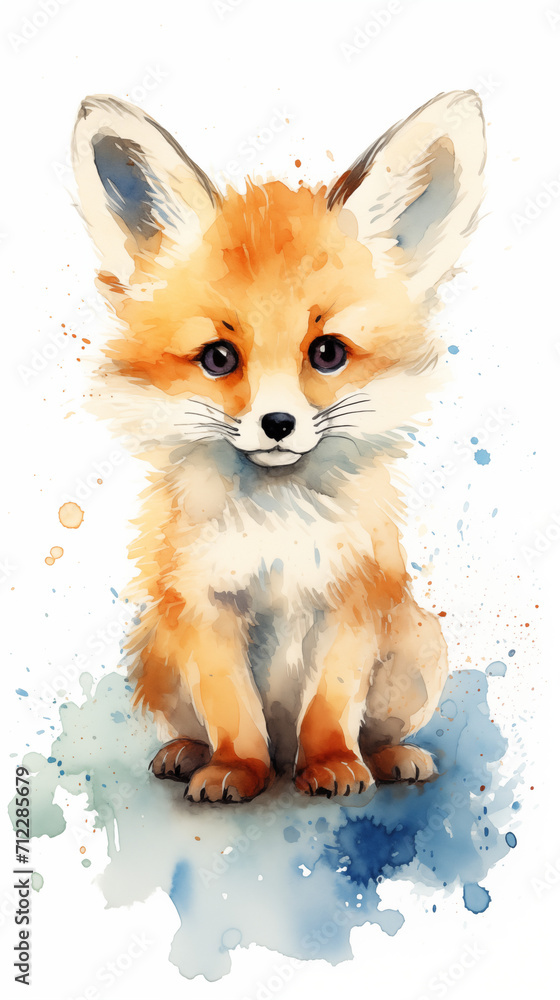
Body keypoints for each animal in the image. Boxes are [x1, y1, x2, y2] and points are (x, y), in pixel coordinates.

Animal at [72, 90, 485, 803]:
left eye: (326, 352)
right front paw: (236, 769)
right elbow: (232, 711)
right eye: (218, 357)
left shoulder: (351, 600)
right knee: (197, 724)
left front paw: (333, 764)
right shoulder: (205, 608)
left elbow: (331, 706)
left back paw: (389, 757)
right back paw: (188, 754)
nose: (279, 423)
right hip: (154, 646)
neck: (278, 530)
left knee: (377, 730)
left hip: (417, 648)